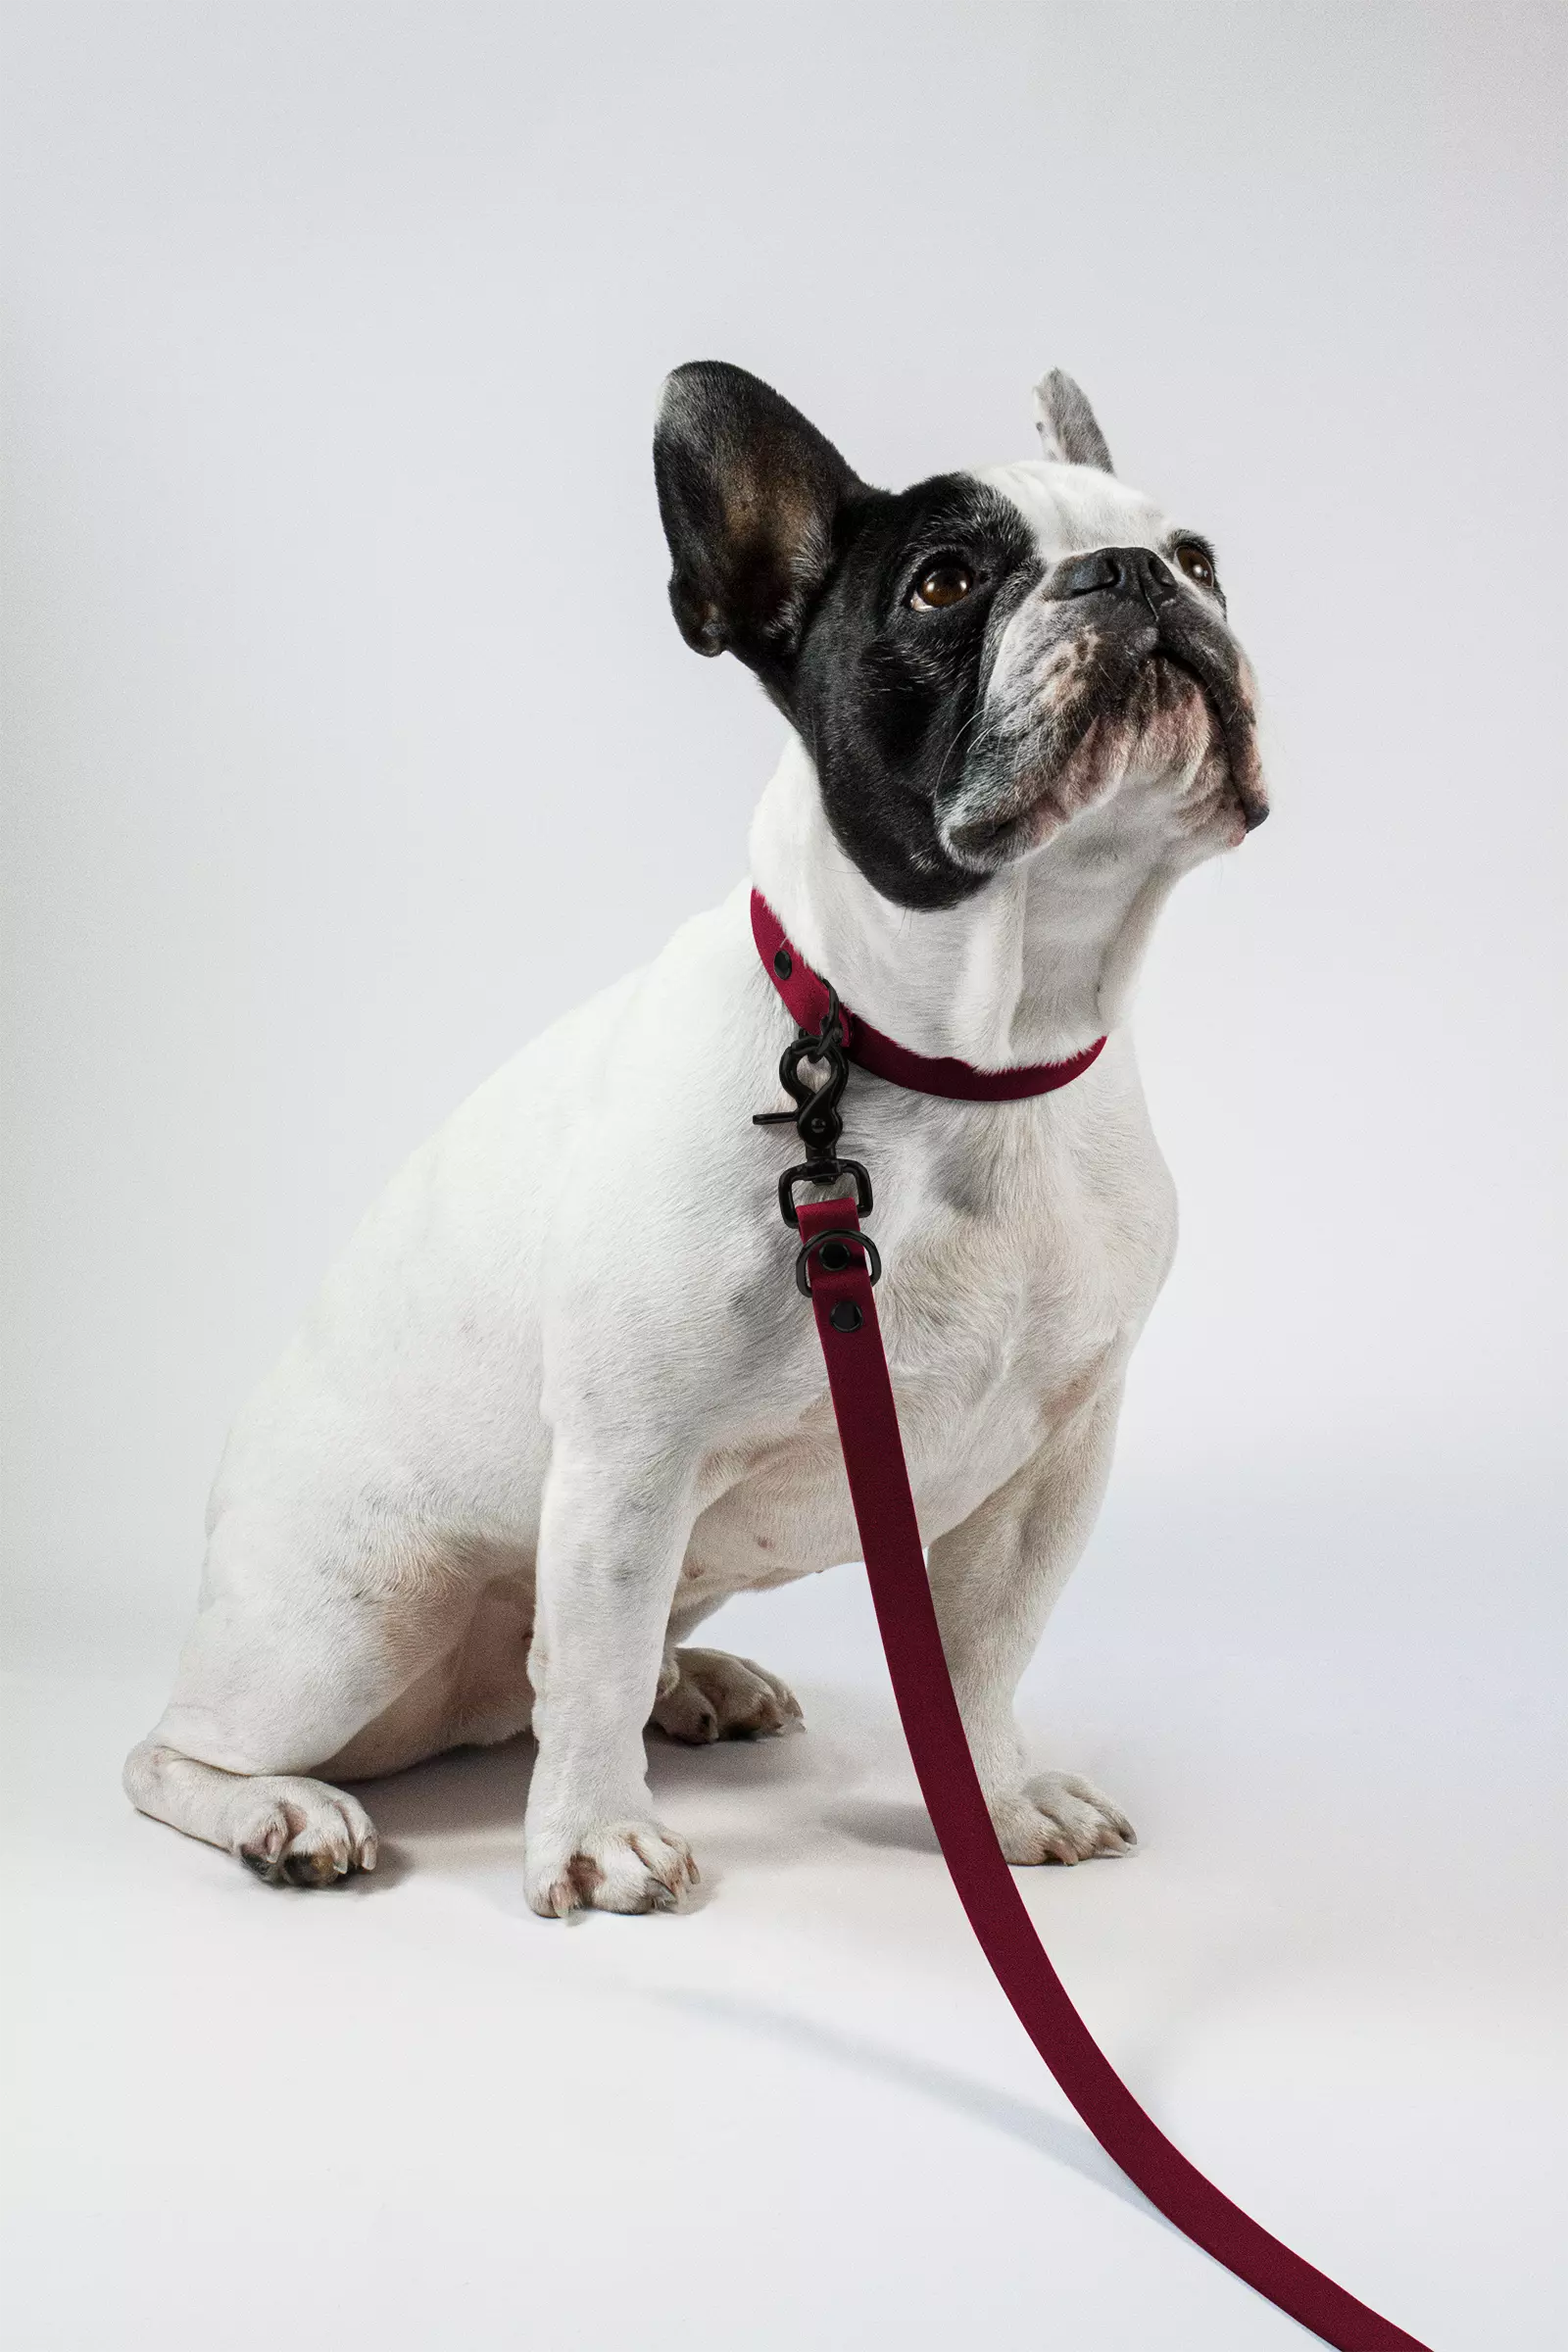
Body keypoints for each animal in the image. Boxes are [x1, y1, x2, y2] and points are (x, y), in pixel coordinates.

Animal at [125, 361, 1266, 1915]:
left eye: (1201, 558)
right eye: (945, 581)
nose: (1133, 574)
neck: (972, 1064)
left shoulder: (1047, 1472)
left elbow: (983, 1660)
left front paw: (995, 1798)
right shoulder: (632, 1456)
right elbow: (596, 1658)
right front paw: (598, 1839)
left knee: (575, 1667)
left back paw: (699, 1681)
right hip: (350, 1620)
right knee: (186, 1745)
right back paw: (281, 1810)